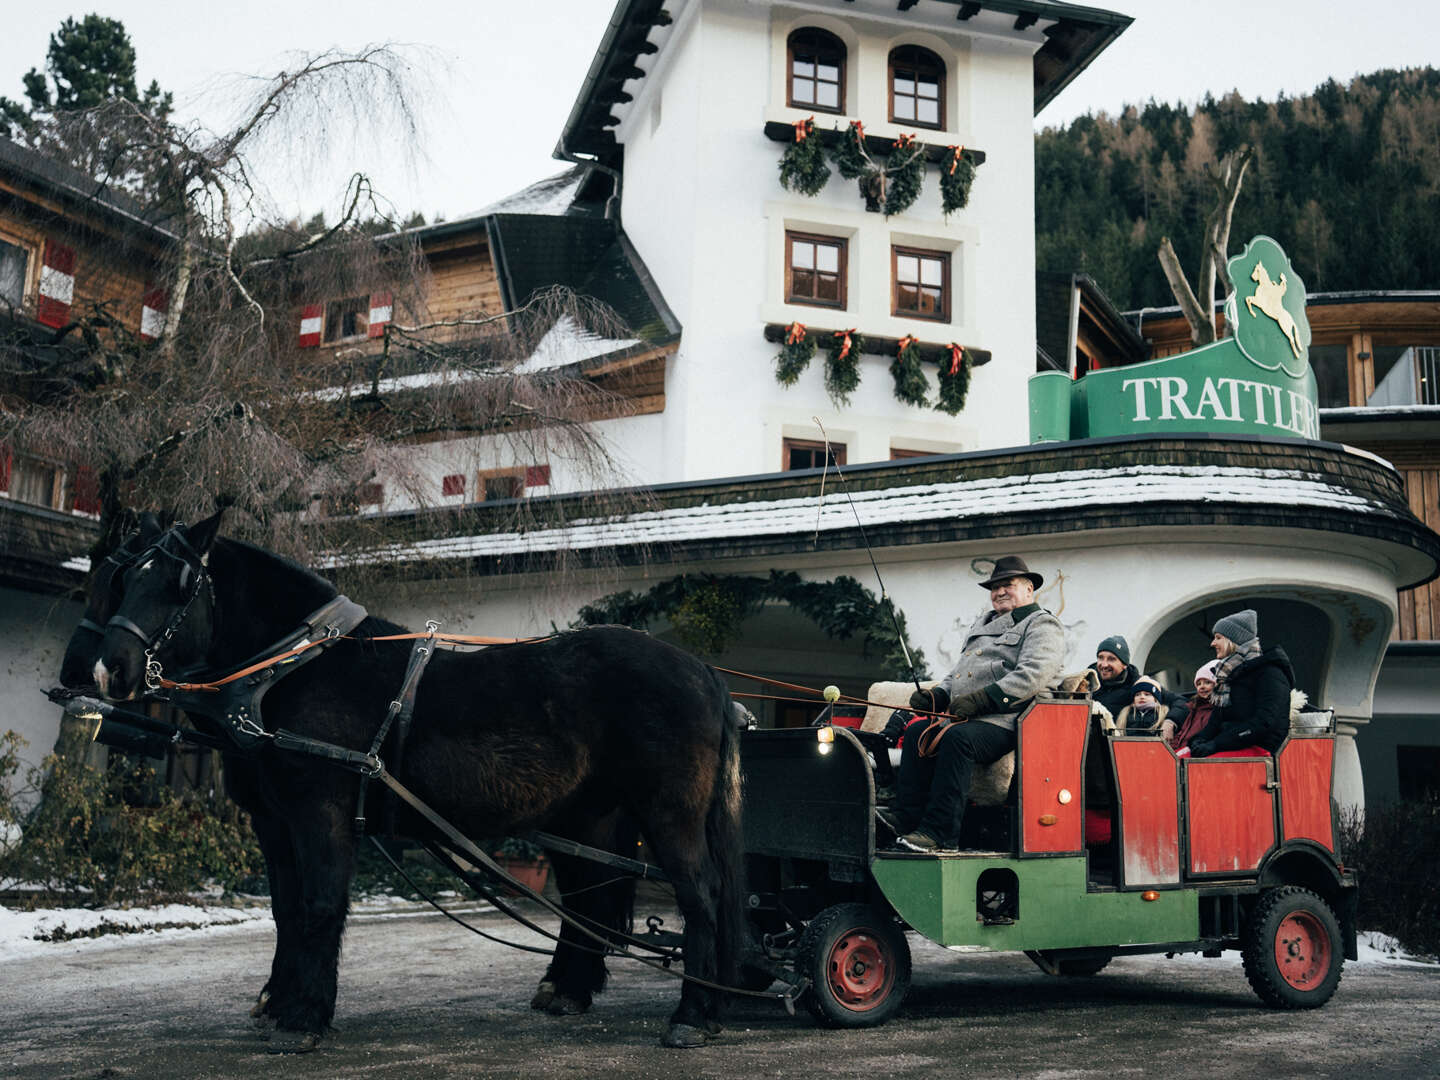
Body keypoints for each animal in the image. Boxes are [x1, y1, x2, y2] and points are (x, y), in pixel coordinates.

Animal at [81, 512, 743, 1054]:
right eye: (125, 578)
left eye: (178, 584)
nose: (108, 669)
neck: (295, 670)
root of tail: (702, 670)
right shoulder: (273, 821)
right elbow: (287, 910)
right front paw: (281, 1001)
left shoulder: (320, 812)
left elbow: (320, 904)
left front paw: (302, 1018)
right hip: (586, 816)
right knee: (590, 895)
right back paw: (573, 991)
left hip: (669, 812)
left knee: (701, 894)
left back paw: (692, 1014)